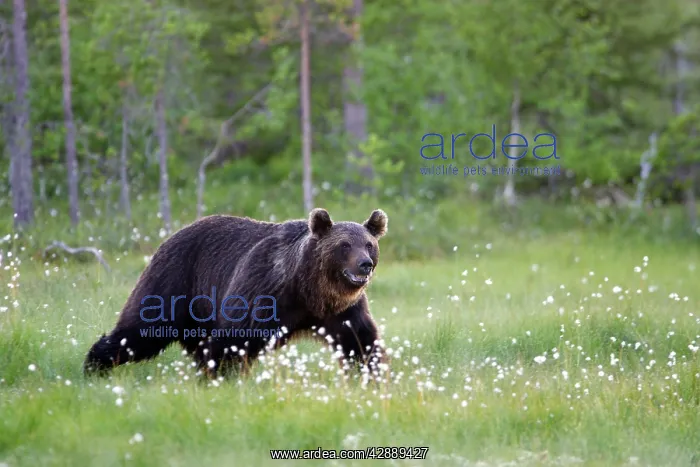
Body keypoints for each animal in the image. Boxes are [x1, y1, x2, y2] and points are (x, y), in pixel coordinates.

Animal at [83, 208, 389, 379]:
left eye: (369, 244)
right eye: (345, 245)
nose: (365, 264)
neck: (310, 291)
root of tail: (172, 234)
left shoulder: (342, 311)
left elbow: (359, 340)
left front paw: (372, 376)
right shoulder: (263, 291)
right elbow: (234, 338)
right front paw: (221, 376)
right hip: (176, 278)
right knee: (142, 328)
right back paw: (95, 364)